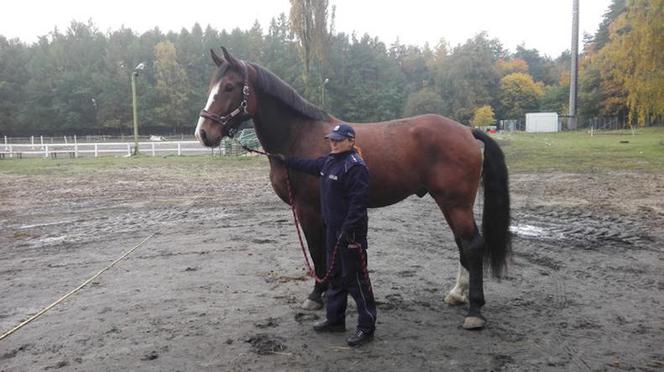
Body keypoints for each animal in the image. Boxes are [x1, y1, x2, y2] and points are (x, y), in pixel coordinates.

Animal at [195, 47, 510, 328]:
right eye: (211, 86)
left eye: (230, 87)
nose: (203, 133)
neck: (299, 136)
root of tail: (466, 130)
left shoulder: (309, 210)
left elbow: (317, 251)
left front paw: (316, 296)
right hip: (450, 203)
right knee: (462, 244)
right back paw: (457, 294)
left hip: (455, 203)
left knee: (472, 245)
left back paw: (475, 311)